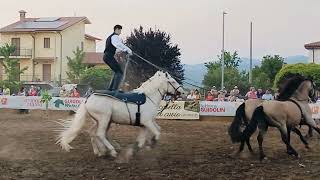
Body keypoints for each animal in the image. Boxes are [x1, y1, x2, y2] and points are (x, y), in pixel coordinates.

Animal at [56, 70, 184, 160]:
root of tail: (89, 97)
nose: (182, 92)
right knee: (100, 134)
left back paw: (99, 151)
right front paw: (151, 144)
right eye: (172, 81)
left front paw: (134, 150)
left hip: (101, 121)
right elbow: (157, 133)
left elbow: (146, 136)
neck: (148, 97)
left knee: (93, 133)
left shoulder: (146, 124)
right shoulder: (147, 122)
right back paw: (111, 151)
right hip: (104, 119)